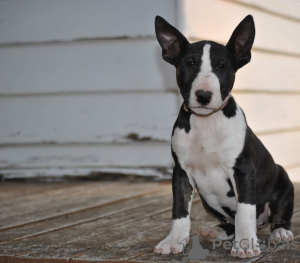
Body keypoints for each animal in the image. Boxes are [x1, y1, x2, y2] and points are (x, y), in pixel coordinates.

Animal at [154, 14, 294, 260]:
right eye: (189, 64)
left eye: (222, 66)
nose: (203, 95)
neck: (206, 122)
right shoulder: (181, 172)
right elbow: (179, 210)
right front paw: (174, 240)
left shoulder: (243, 170)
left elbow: (244, 211)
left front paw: (245, 244)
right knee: (229, 224)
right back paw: (215, 231)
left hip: (283, 180)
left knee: (278, 215)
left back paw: (280, 232)